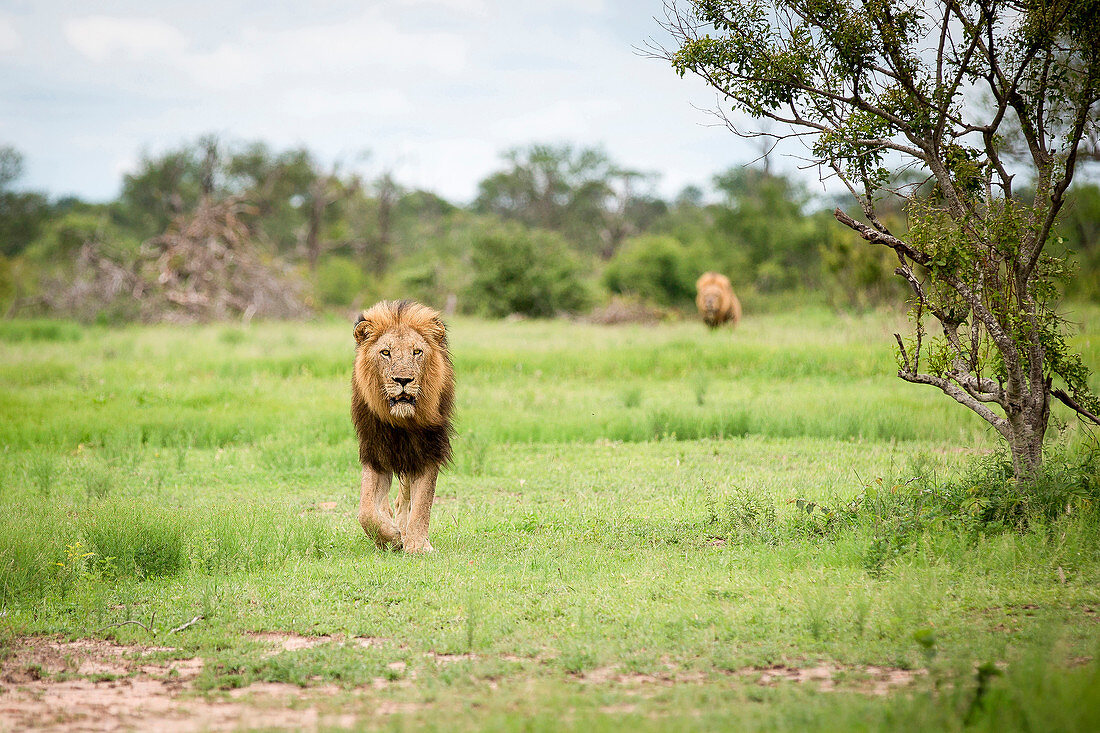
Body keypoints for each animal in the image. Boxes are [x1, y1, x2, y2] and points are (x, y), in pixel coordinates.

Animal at [352, 299, 455, 550]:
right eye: (385, 352)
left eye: (417, 352)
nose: (403, 380)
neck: (401, 422)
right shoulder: (374, 452)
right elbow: (366, 511)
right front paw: (390, 537)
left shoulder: (429, 449)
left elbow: (422, 504)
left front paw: (417, 545)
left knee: (405, 497)